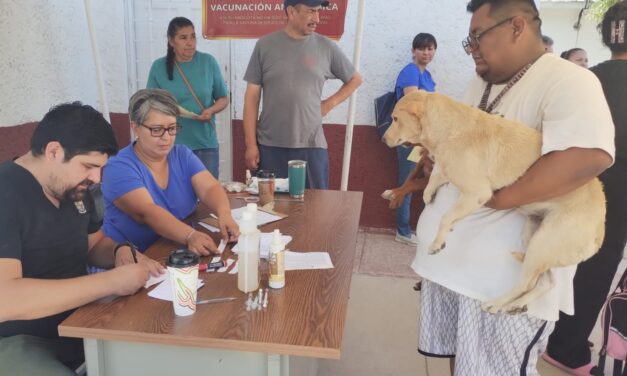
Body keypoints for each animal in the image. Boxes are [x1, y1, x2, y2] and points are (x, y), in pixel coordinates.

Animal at [386, 91, 604, 314]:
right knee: (546, 282)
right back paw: (517, 304)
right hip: (535, 240)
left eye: (395, 119)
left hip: (541, 245)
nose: (384, 139)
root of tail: (599, 230)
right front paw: (429, 194)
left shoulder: (478, 193)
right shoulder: (452, 172)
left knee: (526, 283)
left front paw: (438, 242)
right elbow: (437, 177)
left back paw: (496, 303)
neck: (452, 127)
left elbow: (446, 215)